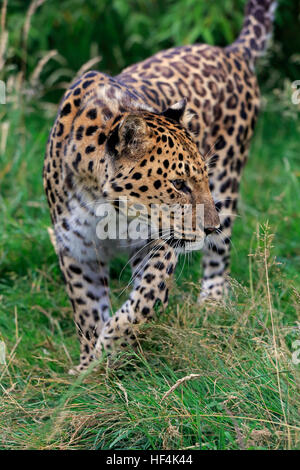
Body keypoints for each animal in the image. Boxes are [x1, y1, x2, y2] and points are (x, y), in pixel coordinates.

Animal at [44, 0, 276, 374]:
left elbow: (142, 303)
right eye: (179, 184)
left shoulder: (157, 244)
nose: (209, 227)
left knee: (220, 254)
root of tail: (231, 51)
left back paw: (212, 303)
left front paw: (110, 346)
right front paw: (88, 367)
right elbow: (86, 310)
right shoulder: (77, 250)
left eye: (200, 179)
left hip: (229, 180)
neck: (105, 207)